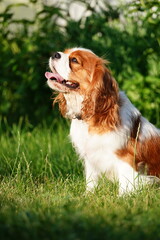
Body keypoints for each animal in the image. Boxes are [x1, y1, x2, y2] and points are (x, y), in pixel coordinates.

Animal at [45, 47, 160, 195]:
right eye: (65, 52)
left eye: (74, 60)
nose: (55, 54)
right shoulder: (91, 158)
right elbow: (91, 180)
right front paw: (88, 195)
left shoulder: (125, 157)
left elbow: (126, 183)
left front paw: (123, 197)